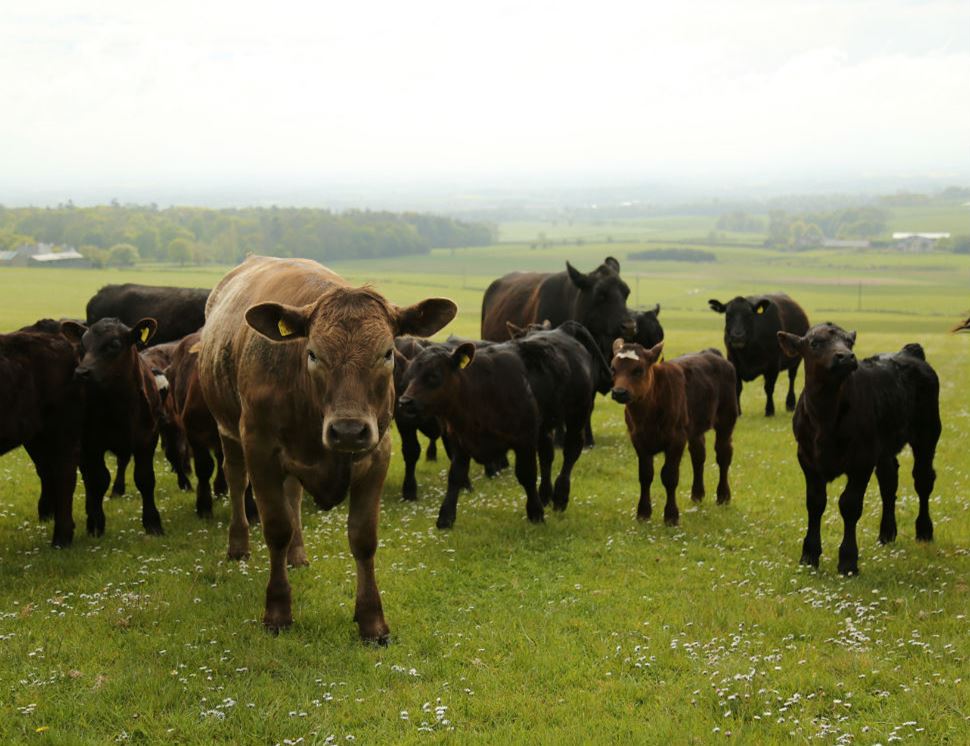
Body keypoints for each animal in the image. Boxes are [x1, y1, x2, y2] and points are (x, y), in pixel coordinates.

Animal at [0, 322, 82, 548]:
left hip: (61, 428)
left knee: (64, 472)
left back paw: (61, 537)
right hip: (35, 435)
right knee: (47, 469)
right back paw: (47, 514)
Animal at [199, 258, 456, 640]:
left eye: (387, 353)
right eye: (313, 354)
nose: (348, 430)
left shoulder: (378, 452)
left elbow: (363, 538)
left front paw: (372, 621)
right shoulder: (259, 448)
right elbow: (276, 528)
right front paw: (278, 610)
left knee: (293, 496)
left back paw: (297, 554)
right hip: (227, 431)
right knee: (235, 480)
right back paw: (239, 545)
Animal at [608, 338, 736, 524]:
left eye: (638, 370)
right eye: (613, 368)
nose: (619, 392)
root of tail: (711, 353)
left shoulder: (676, 439)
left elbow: (669, 476)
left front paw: (671, 516)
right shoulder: (638, 439)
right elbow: (645, 475)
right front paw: (643, 513)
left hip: (727, 420)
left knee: (723, 454)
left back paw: (723, 496)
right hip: (695, 428)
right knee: (698, 456)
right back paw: (697, 494)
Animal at [776, 322, 940, 572]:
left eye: (849, 342)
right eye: (814, 343)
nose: (846, 357)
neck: (825, 417)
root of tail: (909, 352)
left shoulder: (862, 460)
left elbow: (850, 505)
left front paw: (848, 560)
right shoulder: (806, 458)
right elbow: (815, 503)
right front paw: (809, 555)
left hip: (927, 433)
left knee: (923, 479)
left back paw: (924, 531)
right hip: (885, 447)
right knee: (888, 482)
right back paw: (887, 533)